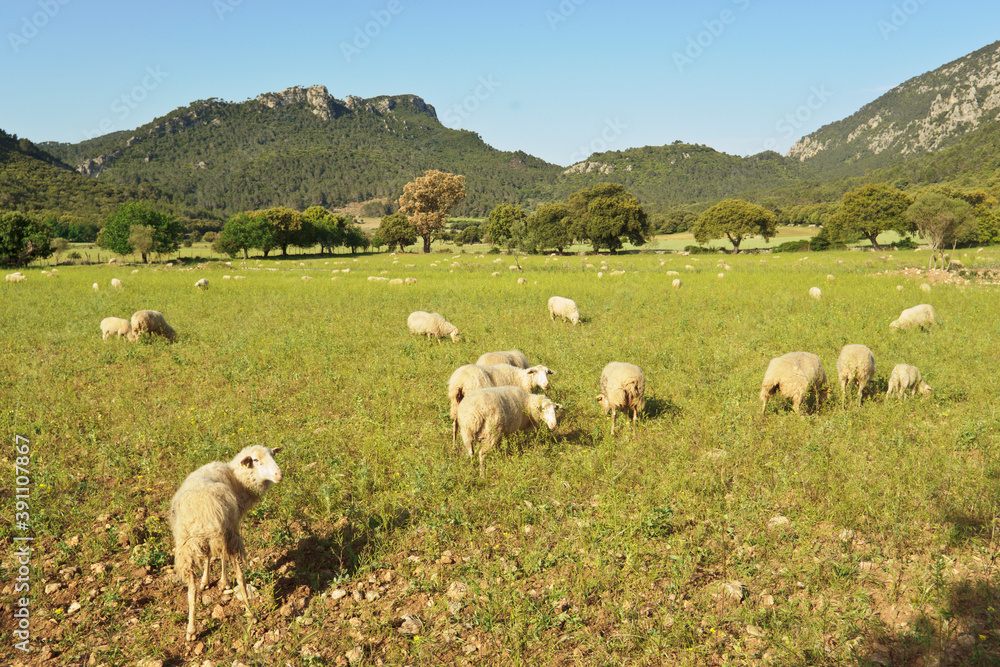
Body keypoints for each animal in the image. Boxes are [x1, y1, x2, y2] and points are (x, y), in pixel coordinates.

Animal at [170, 444, 284, 640]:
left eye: (273, 455)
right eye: (256, 460)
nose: (279, 474)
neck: (236, 478)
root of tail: (202, 512)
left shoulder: (208, 541)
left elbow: (208, 557)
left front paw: (206, 580)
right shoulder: (228, 527)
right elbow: (222, 558)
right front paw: (223, 582)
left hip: (186, 545)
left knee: (191, 590)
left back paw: (191, 629)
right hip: (228, 535)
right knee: (240, 575)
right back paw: (250, 613)